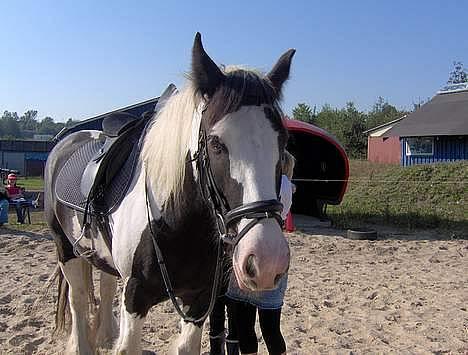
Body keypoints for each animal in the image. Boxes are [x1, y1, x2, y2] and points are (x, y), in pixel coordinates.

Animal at [44, 32, 292, 354]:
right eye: (215, 143)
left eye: (283, 142)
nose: (266, 261)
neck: (179, 222)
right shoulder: (135, 297)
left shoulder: (199, 300)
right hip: (65, 248)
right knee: (78, 299)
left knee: (106, 287)